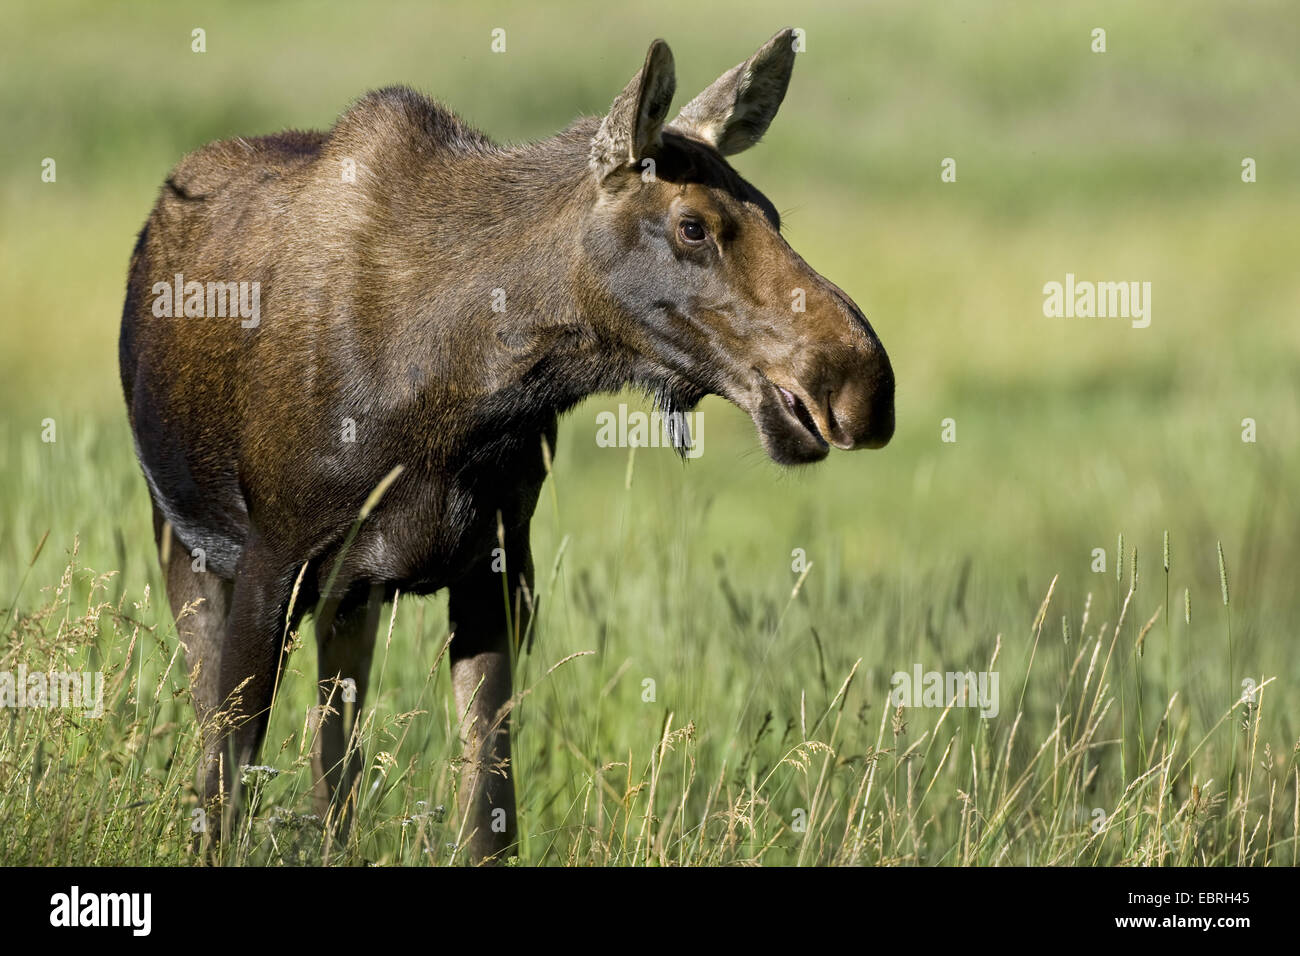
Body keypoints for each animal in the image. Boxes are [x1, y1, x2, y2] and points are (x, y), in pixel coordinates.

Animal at [116, 29, 894, 863]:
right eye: (693, 226)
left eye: (775, 214)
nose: (862, 385)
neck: (459, 395)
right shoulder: (274, 558)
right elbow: (225, 786)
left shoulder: (495, 562)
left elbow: (490, 810)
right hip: (186, 537)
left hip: (347, 599)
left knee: (336, 770)